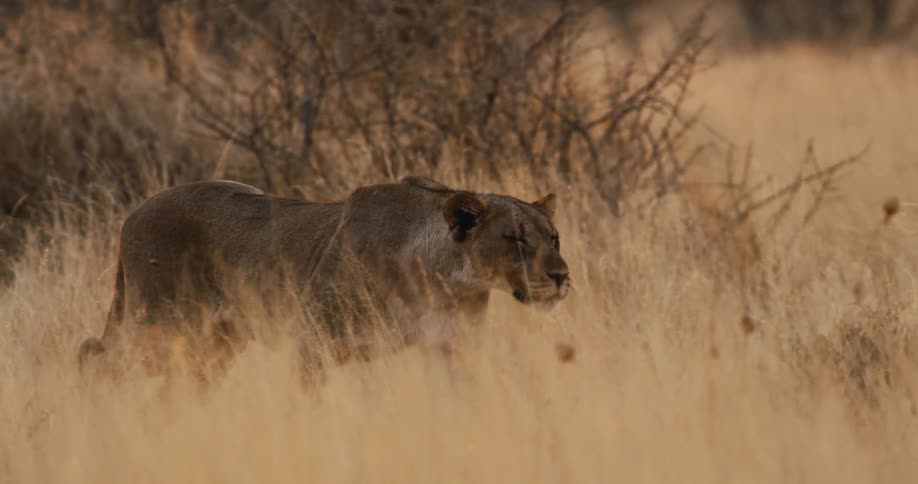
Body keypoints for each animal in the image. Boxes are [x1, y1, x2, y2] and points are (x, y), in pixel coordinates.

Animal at [77, 176, 570, 376]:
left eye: (554, 238)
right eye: (515, 239)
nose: (562, 275)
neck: (445, 284)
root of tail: (134, 213)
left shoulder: (450, 347)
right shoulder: (315, 342)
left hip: (215, 342)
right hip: (157, 323)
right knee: (96, 361)